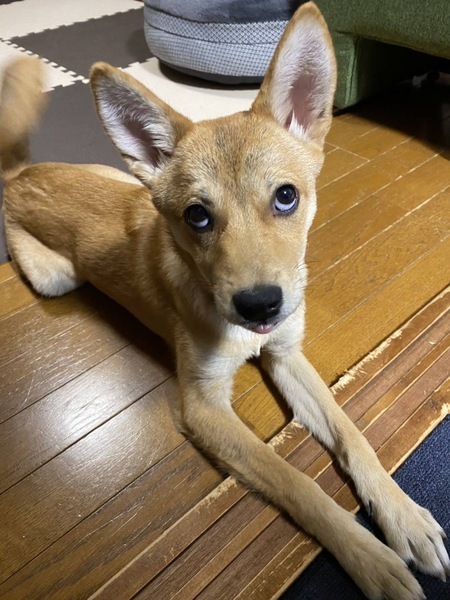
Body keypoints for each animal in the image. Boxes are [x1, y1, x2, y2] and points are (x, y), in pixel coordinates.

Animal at [1, 4, 448, 598]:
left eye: (287, 196)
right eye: (197, 216)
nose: (260, 306)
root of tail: (20, 173)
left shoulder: (286, 353)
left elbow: (351, 433)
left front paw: (402, 516)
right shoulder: (203, 405)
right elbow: (297, 482)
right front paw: (369, 558)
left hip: (119, 176)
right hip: (55, 276)